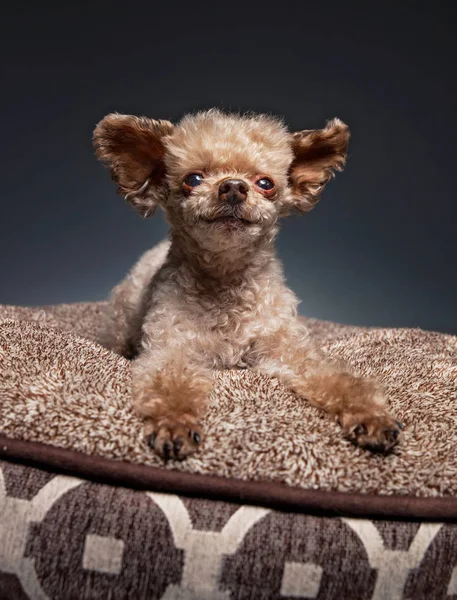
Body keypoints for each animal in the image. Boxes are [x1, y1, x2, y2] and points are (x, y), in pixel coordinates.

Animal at [93, 108, 402, 460]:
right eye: (193, 179)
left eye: (265, 183)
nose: (232, 187)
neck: (226, 281)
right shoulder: (171, 350)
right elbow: (170, 386)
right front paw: (174, 423)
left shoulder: (290, 351)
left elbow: (337, 379)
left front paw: (370, 415)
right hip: (121, 321)